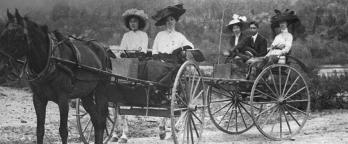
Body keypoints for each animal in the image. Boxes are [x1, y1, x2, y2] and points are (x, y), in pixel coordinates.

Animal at [0, 9, 111, 143]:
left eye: (17, 36)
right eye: (3, 35)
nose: (2, 66)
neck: (50, 59)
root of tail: (103, 48)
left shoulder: (63, 99)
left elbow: (63, 131)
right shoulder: (38, 98)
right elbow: (39, 130)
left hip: (101, 89)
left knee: (101, 119)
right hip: (86, 94)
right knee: (96, 120)